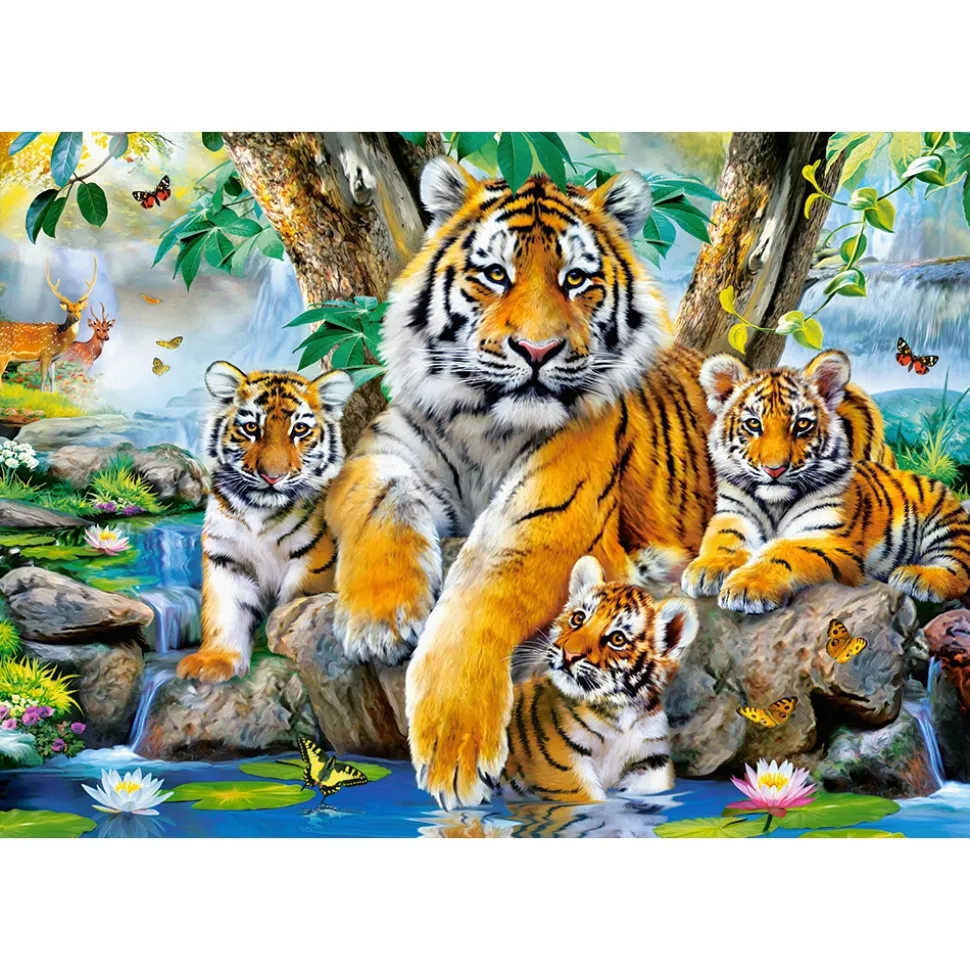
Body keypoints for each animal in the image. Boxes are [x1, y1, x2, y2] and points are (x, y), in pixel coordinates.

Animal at [176, 363, 354, 682]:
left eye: (299, 429)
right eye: (251, 428)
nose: (272, 476)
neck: (260, 512)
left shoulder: (313, 559)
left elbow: (297, 601)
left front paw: (286, 641)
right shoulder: (226, 558)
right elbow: (227, 611)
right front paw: (213, 662)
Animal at [496, 555, 696, 803]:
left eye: (617, 639)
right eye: (578, 618)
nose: (569, 653)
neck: (621, 714)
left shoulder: (654, 760)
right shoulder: (564, 771)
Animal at [682, 350, 970, 614]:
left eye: (802, 424)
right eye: (753, 424)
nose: (774, 470)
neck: (775, 503)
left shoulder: (828, 538)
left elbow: (785, 551)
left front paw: (747, 586)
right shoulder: (734, 513)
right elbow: (724, 538)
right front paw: (707, 568)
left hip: (946, 524)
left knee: (959, 571)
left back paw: (915, 576)